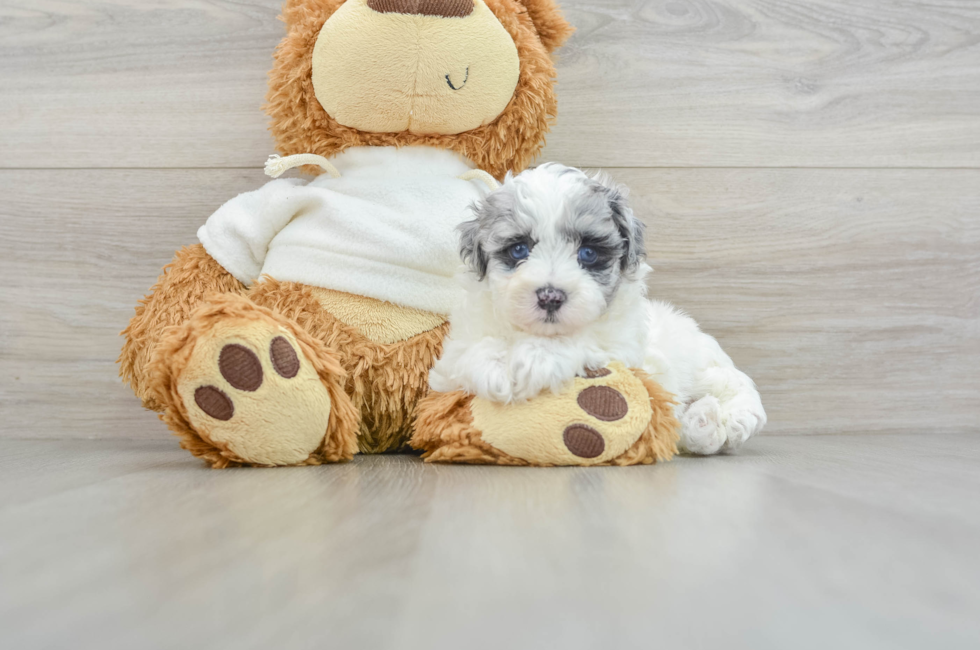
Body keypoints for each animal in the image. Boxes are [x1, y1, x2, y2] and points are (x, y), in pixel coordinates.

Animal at [432, 165, 768, 454]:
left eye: (588, 253)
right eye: (519, 249)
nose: (551, 296)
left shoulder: (627, 351)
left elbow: (585, 343)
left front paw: (537, 360)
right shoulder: (451, 362)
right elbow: (469, 356)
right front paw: (495, 368)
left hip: (703, 366)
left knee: (731, 389)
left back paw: (720, 418)